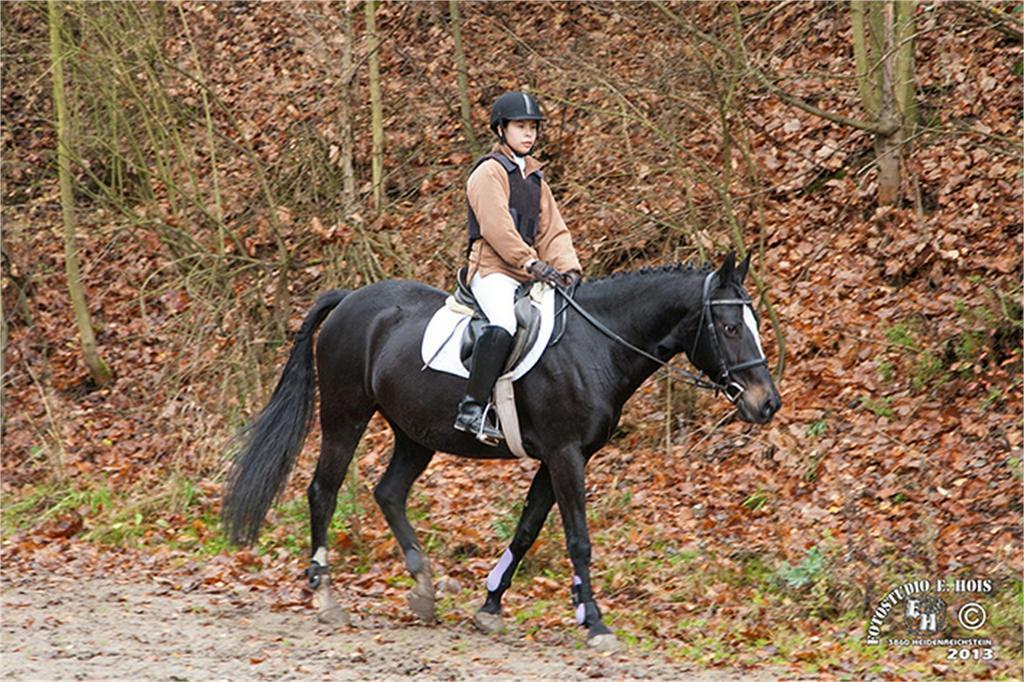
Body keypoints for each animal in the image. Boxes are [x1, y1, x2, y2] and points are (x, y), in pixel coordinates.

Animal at [224, 249, 778, 647]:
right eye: (730, 327)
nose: (766, 403)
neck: (595, 346)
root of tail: (349, 300)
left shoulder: (562, 457)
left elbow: (528, 528)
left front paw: (490, 606)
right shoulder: (565, 454)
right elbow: (578, 537)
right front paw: (595, 623)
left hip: (416, 434)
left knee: (388, 493)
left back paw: (423, 587)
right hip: (346, 415)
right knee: (324, 491)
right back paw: (325, 596)